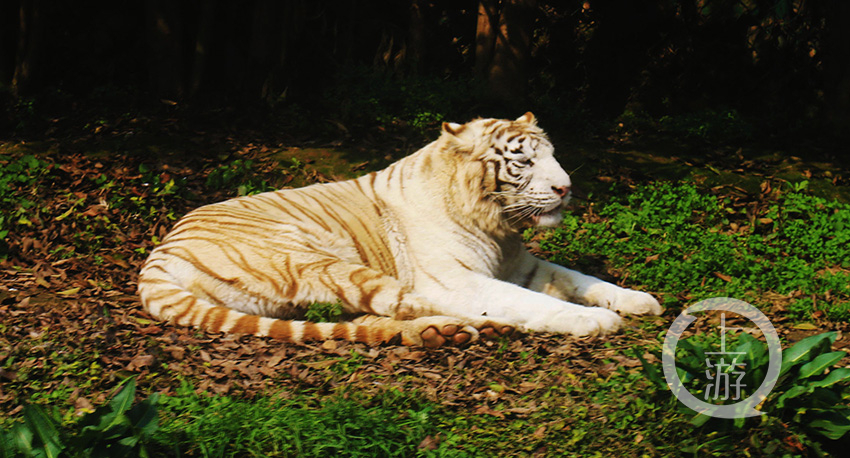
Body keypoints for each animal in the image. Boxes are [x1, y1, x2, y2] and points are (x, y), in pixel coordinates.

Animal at [136, 113, 660, 348]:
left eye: (551, 155)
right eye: (524, 161)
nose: (566, 188)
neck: (498, 225)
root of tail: (159, 254)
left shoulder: (525, 266)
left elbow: (583, 279)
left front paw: (640, 301)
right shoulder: (457, 278)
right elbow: (531, 301)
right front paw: (593, 320)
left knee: (369, 318)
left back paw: (444, 333)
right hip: (318, 260)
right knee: (407, 304)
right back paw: (469, 327)